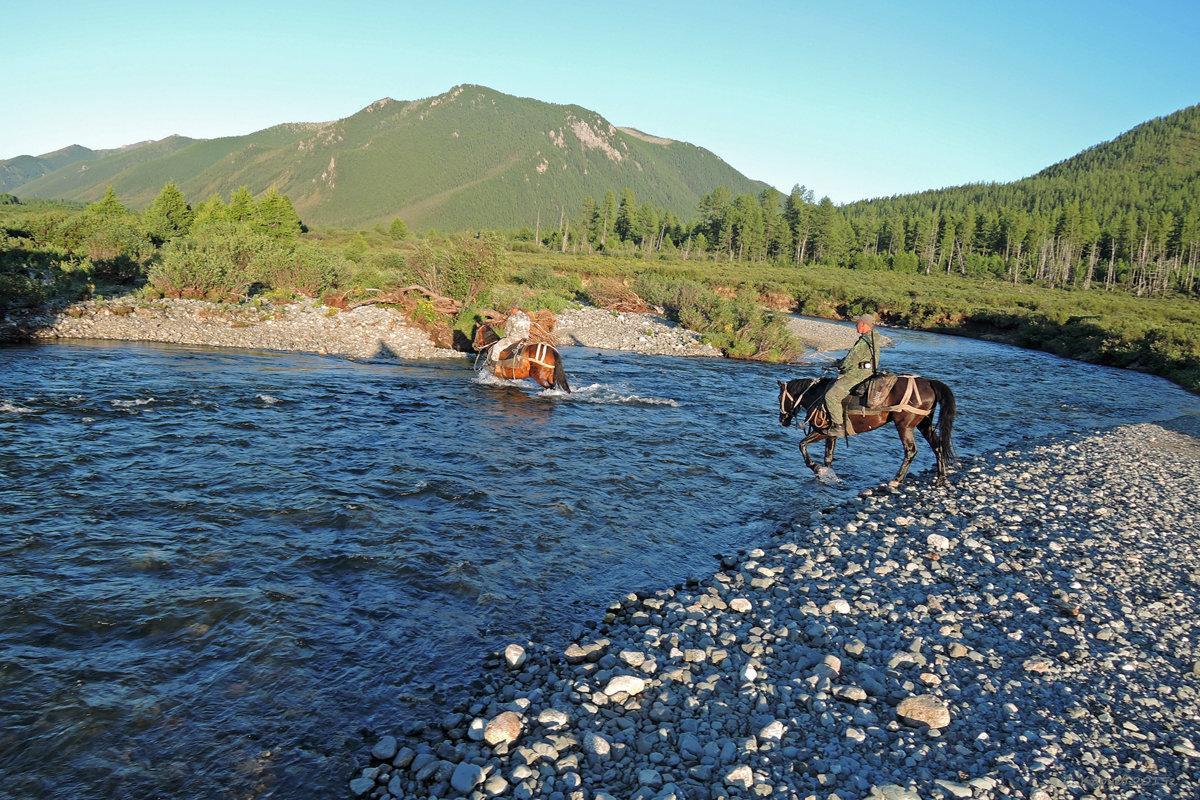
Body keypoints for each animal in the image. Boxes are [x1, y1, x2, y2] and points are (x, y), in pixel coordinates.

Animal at [777, 376, 955, 489]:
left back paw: (897, 480)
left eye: (779, 398)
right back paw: (941, 478)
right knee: (937, 445)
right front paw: (826, 475)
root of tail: (929, 383)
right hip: (924, 424)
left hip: (905, 426)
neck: (818, 395)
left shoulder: (822, 431)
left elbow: (802, 445)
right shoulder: (831, 434)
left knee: (911, 450)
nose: (782, 420)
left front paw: (816, 468)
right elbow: (828, 457)